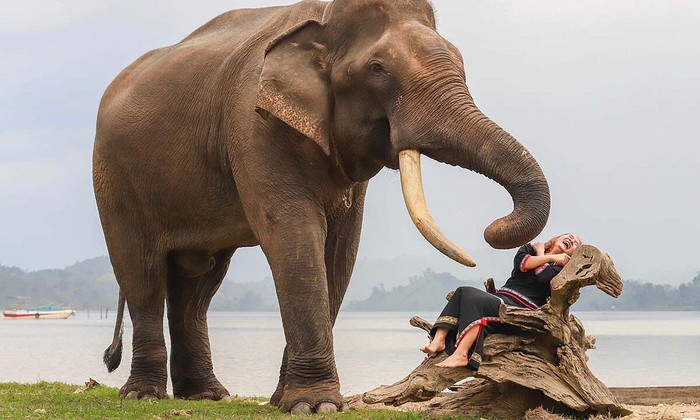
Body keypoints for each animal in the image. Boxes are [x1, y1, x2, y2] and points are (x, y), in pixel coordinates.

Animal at [94, 0, 552, 414]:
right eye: (378, 69)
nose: (492, 228)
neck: (324, 18)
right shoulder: (252, 124)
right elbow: (295, 235)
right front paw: (314, 405)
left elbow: (341, 248)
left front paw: (288, 403)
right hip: (113, 176)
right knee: (142, 274)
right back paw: (143, 395)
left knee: (198, 284)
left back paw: (207, 396)